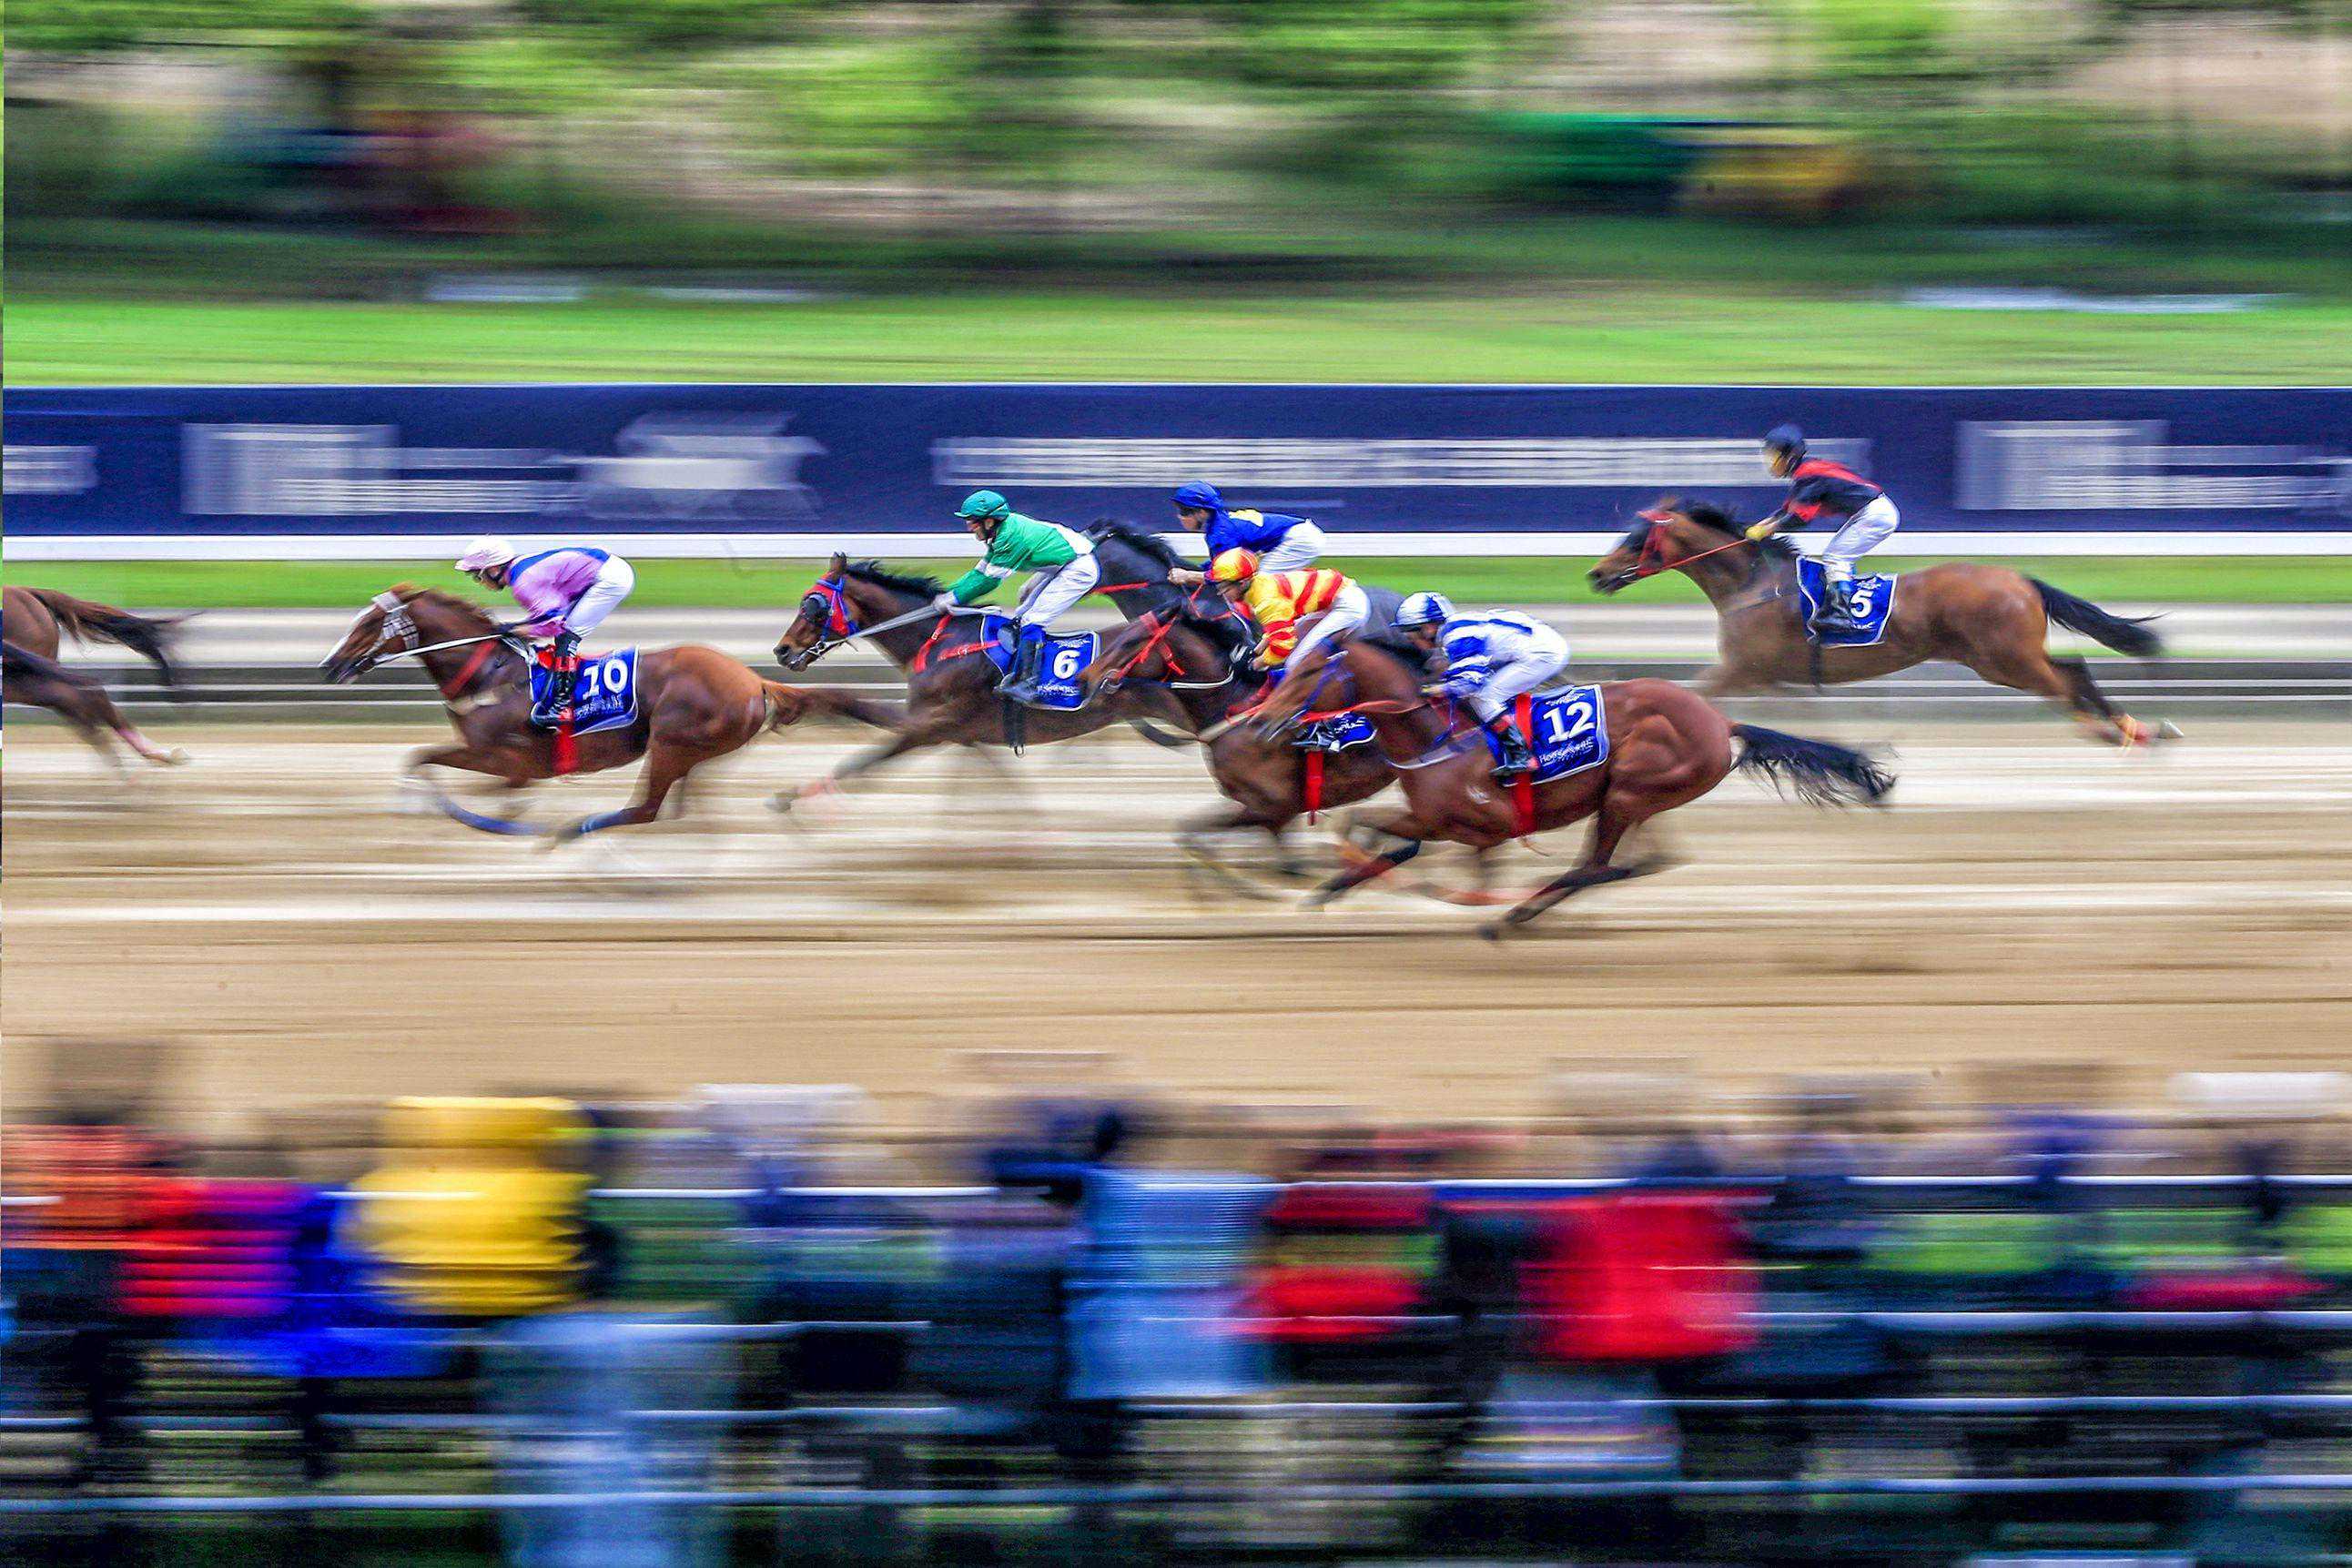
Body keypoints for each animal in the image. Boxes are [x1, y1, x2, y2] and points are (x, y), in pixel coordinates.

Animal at [321, 586, 892, 841]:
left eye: (366, 625)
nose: (330, 665)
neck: (490, 675)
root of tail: (754, 678)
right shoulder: (500, 763)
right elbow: (427, 762)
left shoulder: (506, 758)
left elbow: (425, 759)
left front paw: (429, 808)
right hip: (692, 751)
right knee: (682, 811)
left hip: (671, 741)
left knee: (648, 808)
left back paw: (574, 831)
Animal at [769, 542, 1210, 810]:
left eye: (812, 604)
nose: (782, 650)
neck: (937, 643)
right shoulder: (962, 731)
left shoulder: (929, 724)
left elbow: (860, 745)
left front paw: (795, 796)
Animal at [1080, 606, 1397, 890]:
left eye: (1131, 641)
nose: (1086, 679)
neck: (1234, 708)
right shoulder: (1253, 803)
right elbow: (1191, 833)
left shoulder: (1273, 804)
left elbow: (1195, 836)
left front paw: (1243, 886)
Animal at [1254, 638, 1894, 935]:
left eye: (1309, 674)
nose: (1264, 719)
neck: (1434, 735)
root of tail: (1722, 720)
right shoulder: (1433, 818)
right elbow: (1363, 826)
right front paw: (1330, 887)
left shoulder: (1478, 823)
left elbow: (1434, 853)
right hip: (1645, 800)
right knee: (1649, 859)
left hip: (1628, 792)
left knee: (1596, 865)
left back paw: (1514, 915)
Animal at [1590, 501, 2179, 747]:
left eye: (1637, 539)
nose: (1597, 574)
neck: (1750, 586)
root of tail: (2020, 579)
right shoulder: (1770, 676)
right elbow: (1807, 714)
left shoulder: (1740, 670)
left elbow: (1692, 695)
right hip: (2006, 656)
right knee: (2071, 670)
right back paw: (2134, 728)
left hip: (2002, 659)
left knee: (2063, 679)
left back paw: (2113, 730)